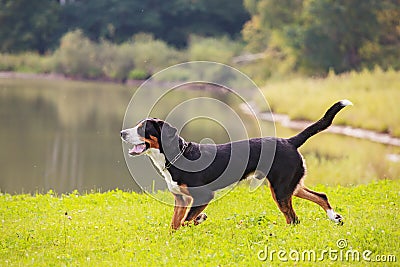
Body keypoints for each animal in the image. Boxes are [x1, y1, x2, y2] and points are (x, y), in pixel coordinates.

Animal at [120, 99, 352, 229]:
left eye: (142, 128)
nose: (122, 133)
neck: (176, 156)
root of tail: (289, 141)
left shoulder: (203, 196)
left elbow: (186, 220)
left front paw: (199, 219)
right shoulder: (181, 199)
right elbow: (175, 224)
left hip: (281, 188)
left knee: (293, 218)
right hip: (289, 186)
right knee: (320, 197)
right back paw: (335, 218)